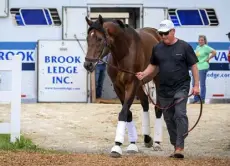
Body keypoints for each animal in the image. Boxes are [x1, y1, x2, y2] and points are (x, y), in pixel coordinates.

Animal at [84, 14, 164, 158]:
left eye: (99, 39)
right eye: (88, 38)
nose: (88, 64)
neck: (124, 53)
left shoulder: (131, 85)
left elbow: (123, 113)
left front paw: (117, 146)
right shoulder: (118, 87)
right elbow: (128, 113)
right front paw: (132, 144)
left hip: (157, 80)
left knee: (158, 108)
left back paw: (157, 143)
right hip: (140, 84)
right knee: (145, 103)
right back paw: (147, 139)